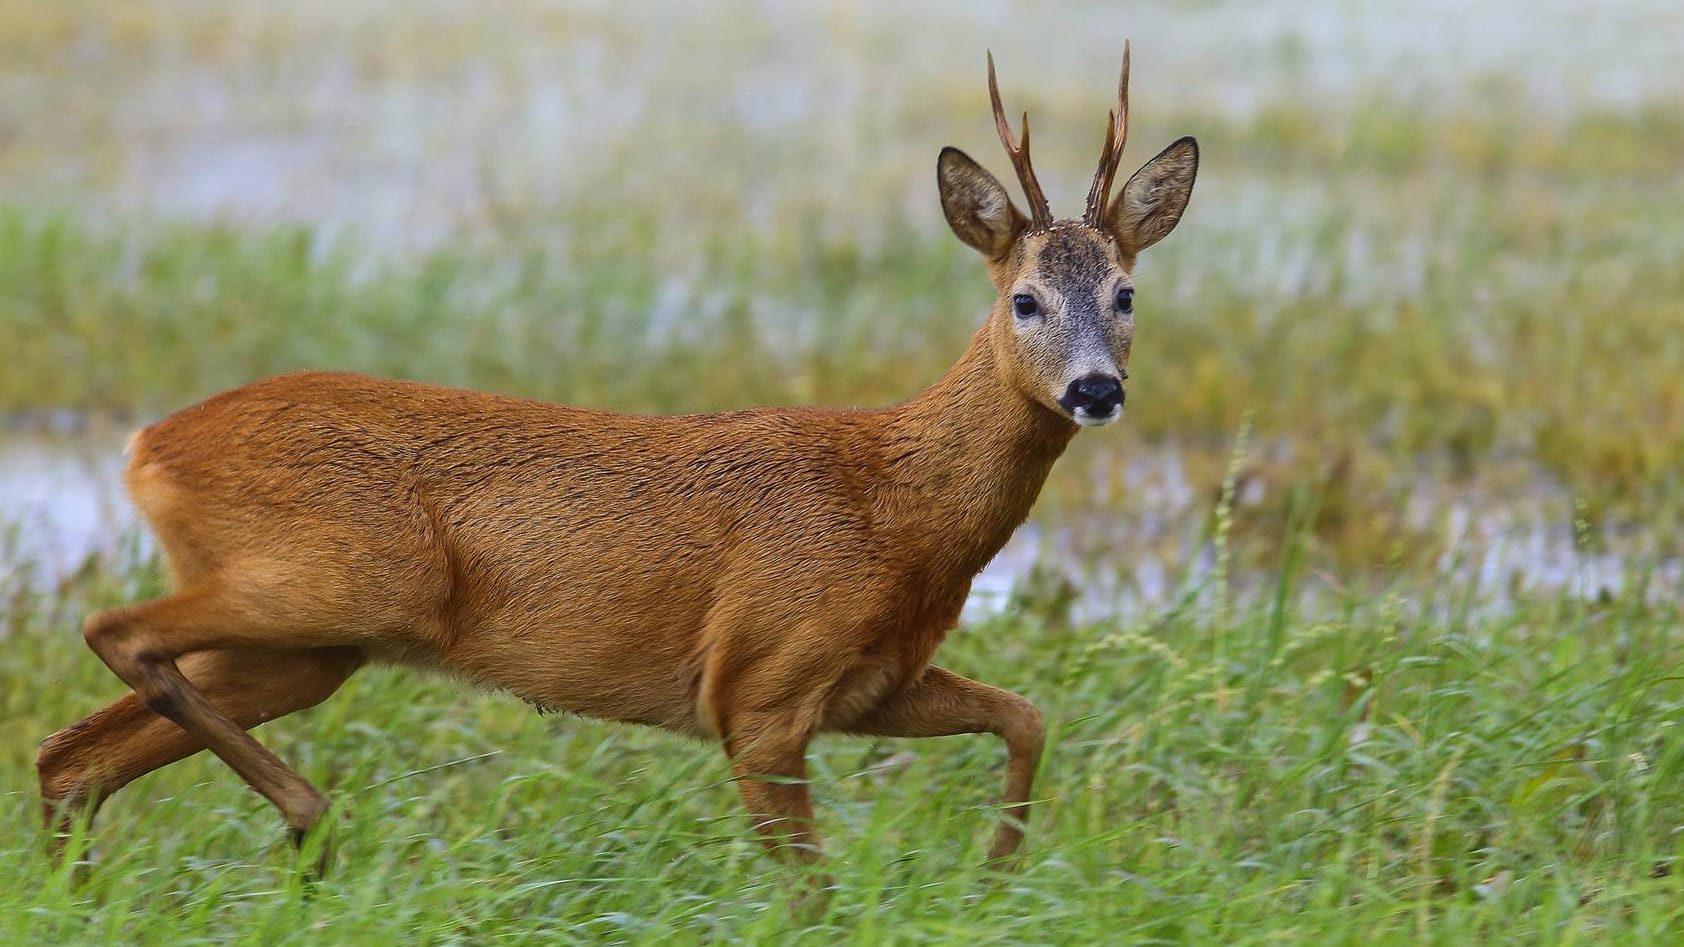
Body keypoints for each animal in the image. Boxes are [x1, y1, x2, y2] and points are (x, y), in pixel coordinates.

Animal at [36, 42, 1199, 869]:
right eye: (1026, 298)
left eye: (1128, 292)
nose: (1096, 389)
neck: (893, 508)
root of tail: (148, 442)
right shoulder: (761, 687)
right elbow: (813, 892)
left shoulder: (869, 682)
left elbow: (1026, 716)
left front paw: (998, 872)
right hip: (337, 576)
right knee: (111, 632)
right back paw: (310, 815)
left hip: (311, 641)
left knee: (70, 754)